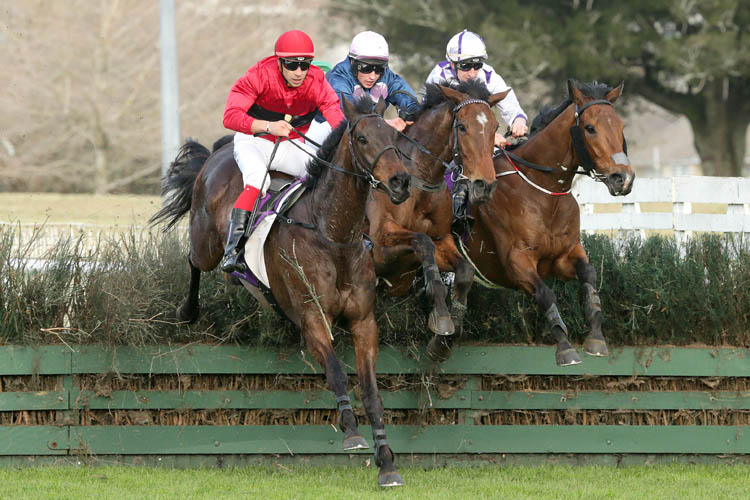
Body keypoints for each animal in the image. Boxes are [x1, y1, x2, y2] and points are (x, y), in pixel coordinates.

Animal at [151, 95, 412, 486]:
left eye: (394, 136)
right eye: (363, 138)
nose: (400, 181)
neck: (331, 232)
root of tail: (218, 151)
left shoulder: (364, 321)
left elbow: (371, 393)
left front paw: (387, 463)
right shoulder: (311, 317)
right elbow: (336, 372)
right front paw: (351, 431)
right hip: (206, 241)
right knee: (194, 259)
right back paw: (189, 309)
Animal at [368, 80, 508, 340]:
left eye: (495, 127)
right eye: (462, 127)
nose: (485, 185)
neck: (421, 179)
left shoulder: (442, 239)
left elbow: (463, 270)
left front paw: (451, 322)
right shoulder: (381, 242)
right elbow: (422, 244)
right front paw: (442, 316)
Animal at [434, 80, 636, 366]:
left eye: (620, 126)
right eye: (590, 128)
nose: (624, 179)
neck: (543, 192)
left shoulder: (563, 256)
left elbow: (589, 276)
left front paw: (596, 338)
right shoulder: (516, 262)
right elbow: (545, 294)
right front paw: (565, 347)